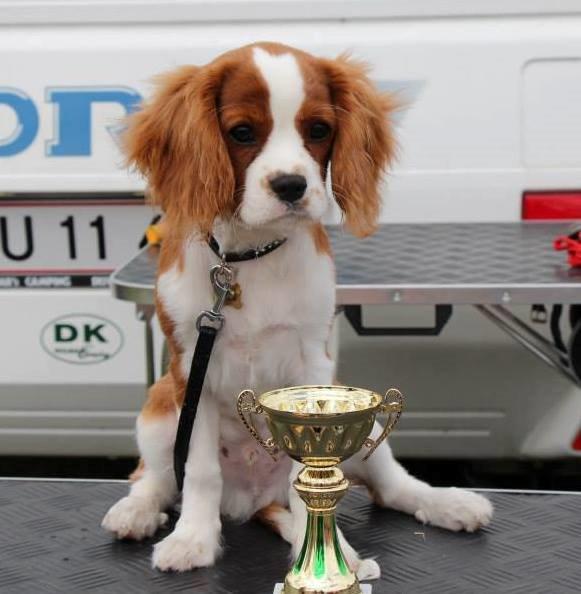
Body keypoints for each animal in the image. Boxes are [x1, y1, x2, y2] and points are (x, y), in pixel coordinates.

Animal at [102, 40, 492, 572]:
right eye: (242, 132)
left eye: (319, 130)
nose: (291, 186)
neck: (249, 257)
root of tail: (249, 500)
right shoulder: (191, 369)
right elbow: (199, 471)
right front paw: (194, 540)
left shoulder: (313, 364)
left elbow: (305, 477)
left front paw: (325, 553)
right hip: (159, 408)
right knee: (156, 477)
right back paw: (136, 511)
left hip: (366, 424)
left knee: (392, 487)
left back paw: (451, 503)